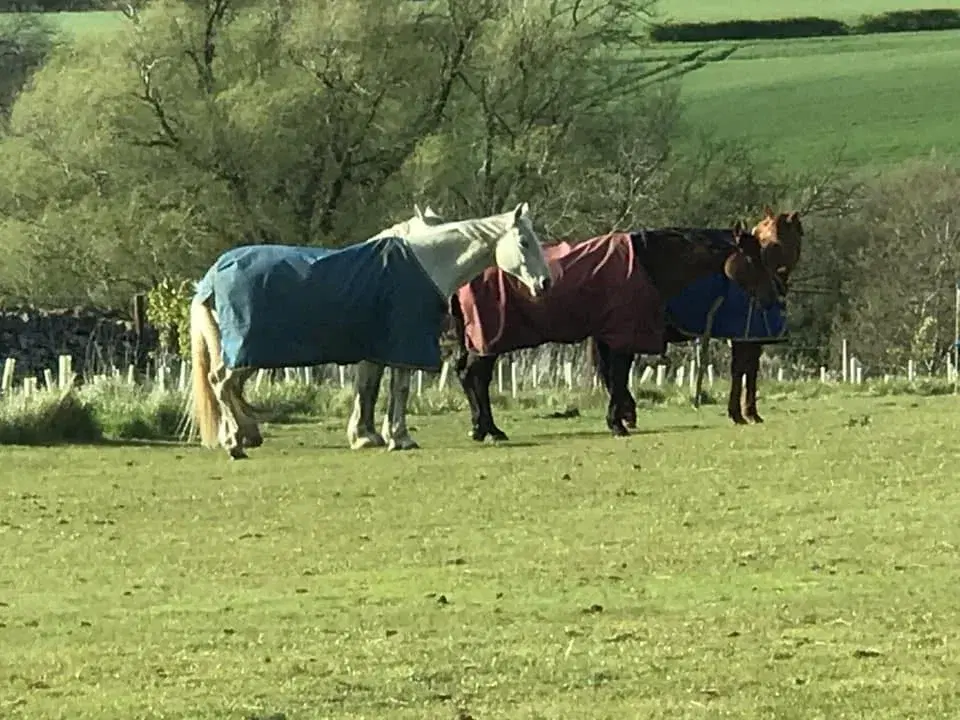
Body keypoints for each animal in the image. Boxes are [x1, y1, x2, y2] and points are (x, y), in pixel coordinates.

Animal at [183, 203, 553, 459]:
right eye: (524, 241)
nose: (545, 283)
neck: (423, 265)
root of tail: (214, 272)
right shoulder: (404, 346)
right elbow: (398, 389)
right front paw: (399, 437)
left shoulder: (377, 350)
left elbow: (370, 390)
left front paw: (371, 436)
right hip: (246, 354)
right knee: (222, 384)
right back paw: (235, 443)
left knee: (224, 386)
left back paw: (242, 435)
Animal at [450, 224, 784, 441]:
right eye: (752, 259)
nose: (773, 296)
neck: (649, 264)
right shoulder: (621, 337)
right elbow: (618, 377)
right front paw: (618, 423)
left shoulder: (609, 337)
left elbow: (614, 378)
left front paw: (620, 419)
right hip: (488, 342)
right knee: (474, 377)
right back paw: (490, 430)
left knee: (469, 376)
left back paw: (483, 428)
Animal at [600, 209, 804, 429]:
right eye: (767, 239)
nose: (776, 286)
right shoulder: (745, 338)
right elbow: (743, 371)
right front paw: (743, 414)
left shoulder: (748, 339)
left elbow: (748, 370)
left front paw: (745, 412)